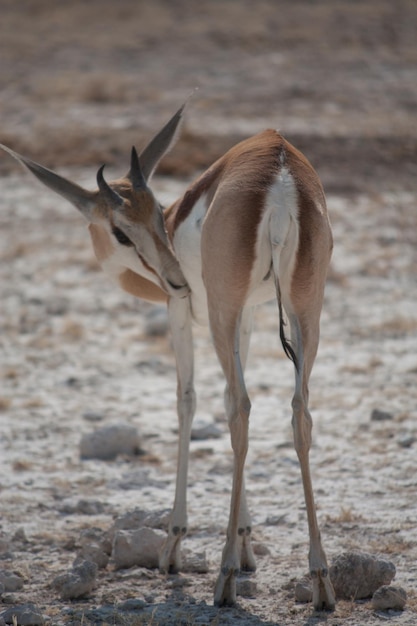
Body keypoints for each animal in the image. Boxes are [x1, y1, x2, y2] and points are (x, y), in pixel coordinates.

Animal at [0, 103, 334, 608]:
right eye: (122, 227)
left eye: (154, 215)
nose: (174, 278)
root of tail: (280, 175)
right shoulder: (249, 314)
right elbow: (225, 398)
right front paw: (247, 542)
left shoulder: (185, 314)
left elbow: (188, 400)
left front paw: (175, 547)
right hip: (302, 311)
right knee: (298, 413)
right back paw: (320, 581)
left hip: (224, 313)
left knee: (241, 408)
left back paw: (225, 579)